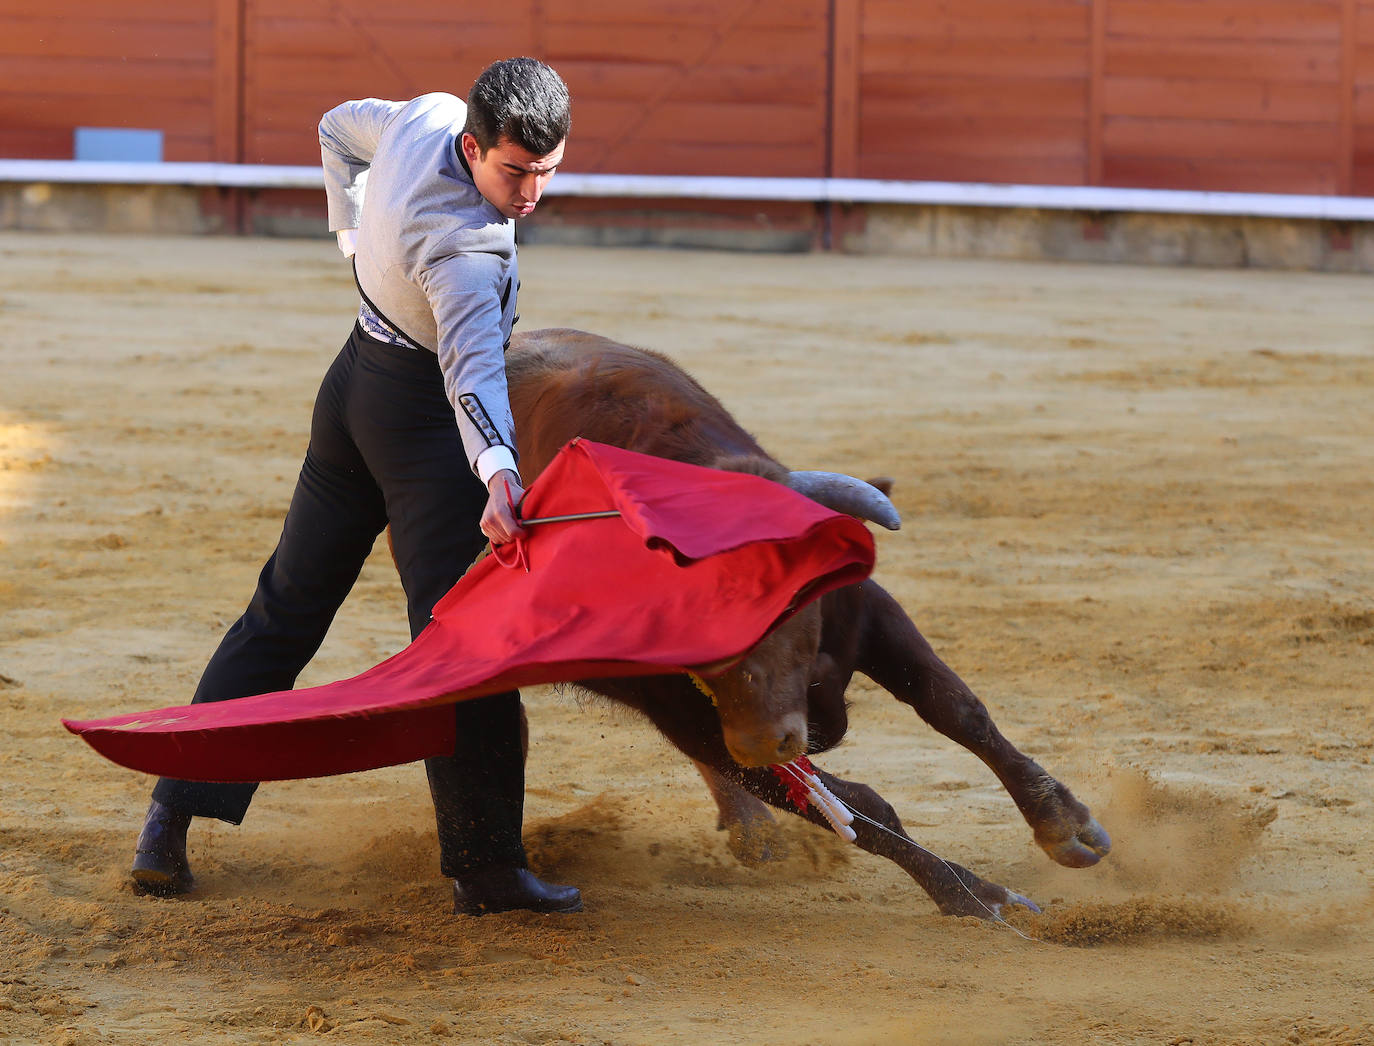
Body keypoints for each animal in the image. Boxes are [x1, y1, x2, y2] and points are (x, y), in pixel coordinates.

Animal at [505, 327, 1104, 912]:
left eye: (787, 591)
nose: (764, 742)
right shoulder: (689, 719)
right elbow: (859, 808)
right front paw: (976, 894)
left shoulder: (870, 612)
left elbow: (957, 710)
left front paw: (1065, 826)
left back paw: (755, 836)